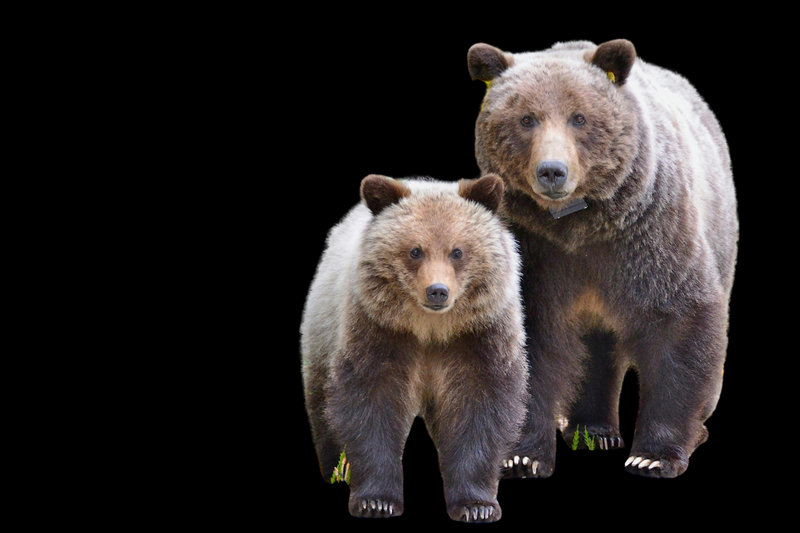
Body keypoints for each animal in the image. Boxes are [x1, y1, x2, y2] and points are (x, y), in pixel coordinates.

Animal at [300, 174, 528, 521]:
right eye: (415, 250)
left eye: (457, 251)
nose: (438, 291)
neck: (430, 328)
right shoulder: (380, 331)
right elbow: (370, 403)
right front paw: (376, 501)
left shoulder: (478, 337)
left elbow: (479, 406)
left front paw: (476, 505)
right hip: (322, 334)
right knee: (323, 411)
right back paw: (337, 471)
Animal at [467, 39, 738, 478]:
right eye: (527, 119)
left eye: (579, 117)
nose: (552, 171)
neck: (580, 226)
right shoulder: (535, 251)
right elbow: (530, 339)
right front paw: (521, 456)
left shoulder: (650, 235)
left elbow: (681, 321)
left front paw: (653, 456)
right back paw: (591, 430)